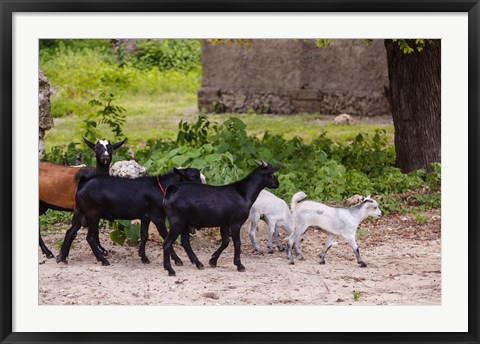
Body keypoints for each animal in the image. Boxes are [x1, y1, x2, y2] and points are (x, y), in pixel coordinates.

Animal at [56, 168, 202, 264]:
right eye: (192, 177)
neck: (160, 188)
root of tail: (83, 182)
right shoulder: (158, 217)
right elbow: (165, 236)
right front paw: (177, 260)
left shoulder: (146, 218)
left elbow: (144, 236)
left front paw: (143, 257)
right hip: (93, 213)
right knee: (90, 237)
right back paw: (103, 260)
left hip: (80, 212)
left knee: (70, 232)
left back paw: (62, 257)